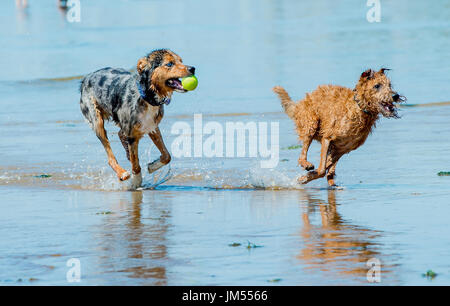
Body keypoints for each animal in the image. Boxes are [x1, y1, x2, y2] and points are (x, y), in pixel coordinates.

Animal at [272, 68, 406, 186]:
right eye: (377, 86)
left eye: (390, 85)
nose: (395, 96)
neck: (359, 109)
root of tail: (300, 104)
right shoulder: (328, 138)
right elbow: (321, 169)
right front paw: (304, 177)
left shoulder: (343, 149)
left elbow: (326, 165)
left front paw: (308, 176)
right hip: (311, 124)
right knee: (302, 154)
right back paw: (307, 164)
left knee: (329, 169)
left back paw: (331, 182)